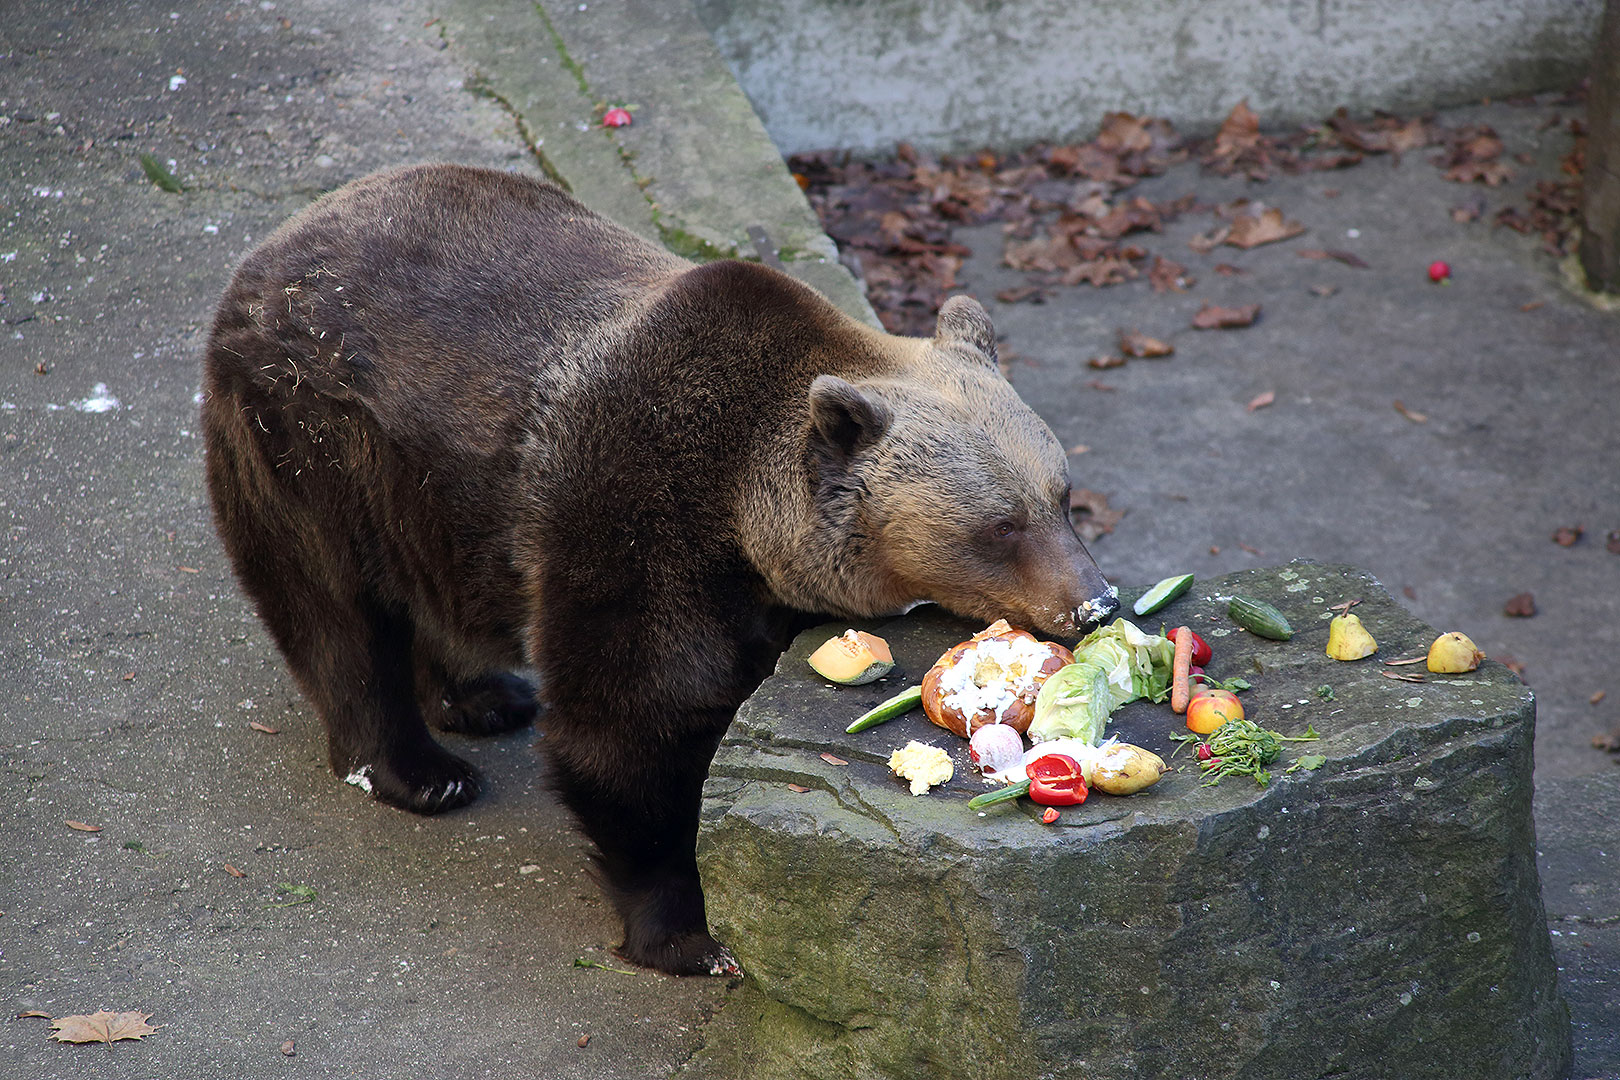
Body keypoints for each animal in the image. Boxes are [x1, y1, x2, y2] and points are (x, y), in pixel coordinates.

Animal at [199, 162, 1114, 977]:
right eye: (1000, 526)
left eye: (1063, 496)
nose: (1094, 603)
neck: (746, 517)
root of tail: (269, 246)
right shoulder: (632, 515)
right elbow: (632, 722)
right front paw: (690, 933)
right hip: (314, 441)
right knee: (336, 611)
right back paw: (422, 771)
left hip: (427, 500)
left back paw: (484, 696)